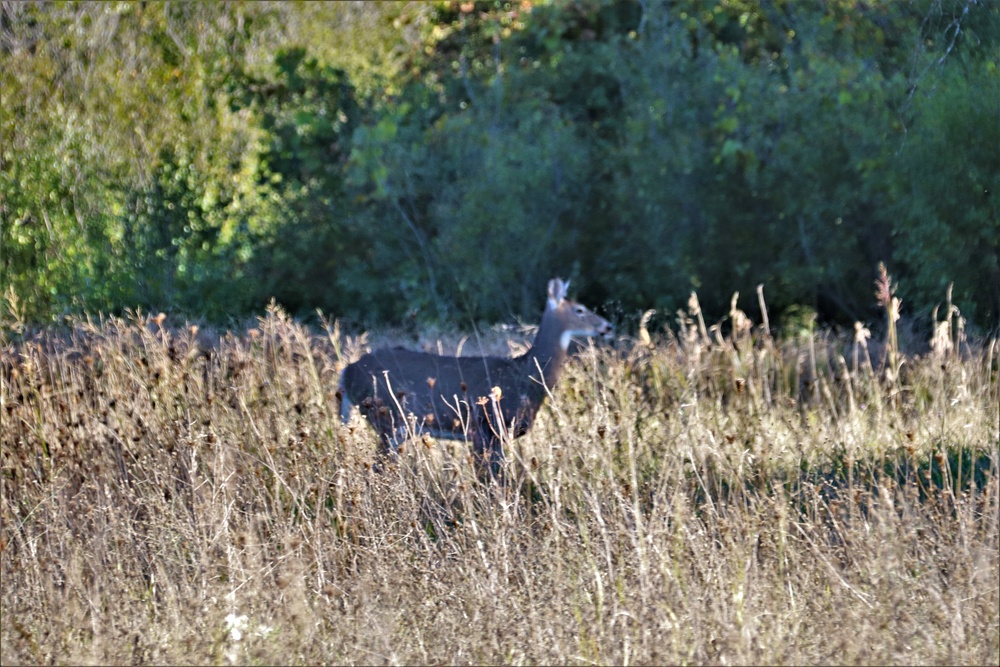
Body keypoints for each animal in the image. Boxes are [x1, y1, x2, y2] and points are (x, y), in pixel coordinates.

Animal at [340, 278, 612, 480]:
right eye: (580, 310)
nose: (608, 326)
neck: (525, 375)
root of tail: (346, 373)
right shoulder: (487, 428)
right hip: (388, 418)